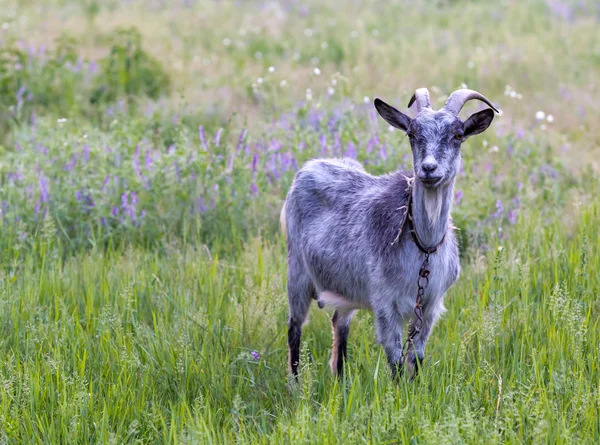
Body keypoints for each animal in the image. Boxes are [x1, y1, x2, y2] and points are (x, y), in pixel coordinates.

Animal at [282, 87, 496, 378]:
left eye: (458, 135)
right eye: (412, 134)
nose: (428, 168)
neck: (423, 247)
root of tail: (309, 167)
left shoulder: (429, 307)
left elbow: (416, 359)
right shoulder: (385, 304)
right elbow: (395, 361)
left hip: (345, 287)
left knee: (339, 324)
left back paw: (340, 379)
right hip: (298, 272)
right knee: (294, 327)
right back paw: (295, 383)